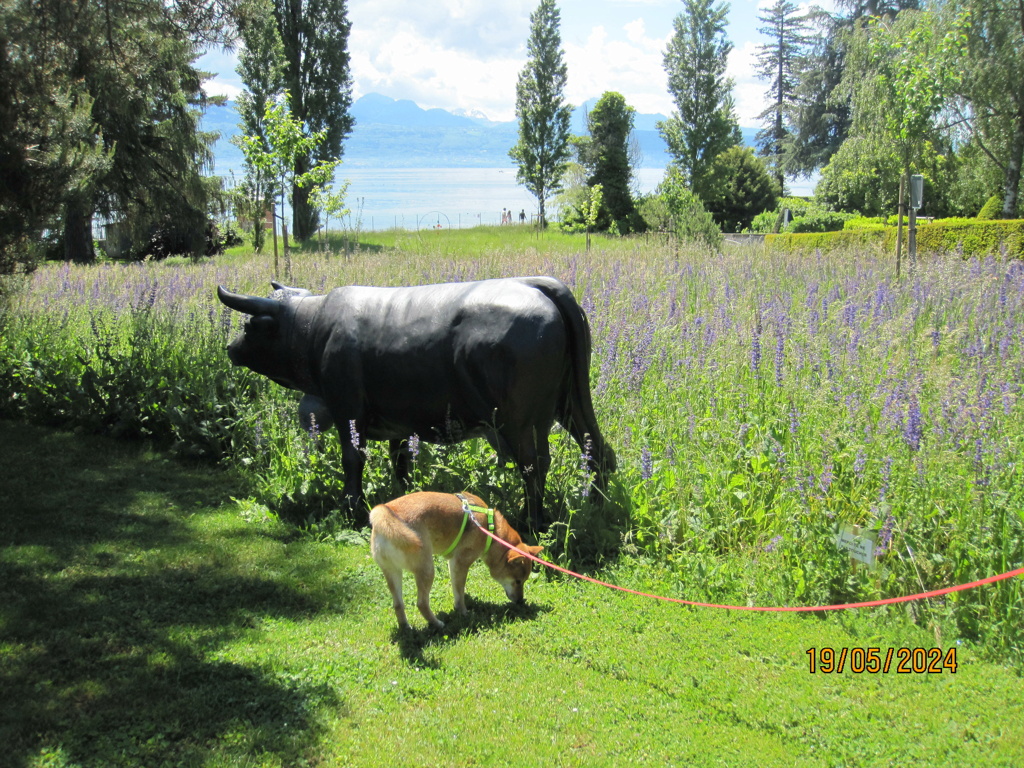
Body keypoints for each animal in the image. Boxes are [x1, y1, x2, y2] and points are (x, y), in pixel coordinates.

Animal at [370, 493, 544, 630]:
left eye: (524, 581)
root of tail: (385, 513)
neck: (490, 529)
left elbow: (456, 589)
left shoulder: (452, 564)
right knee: (421, 603)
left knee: (398, 604)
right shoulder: (460, 563)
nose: (521, 601)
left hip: (393, 573)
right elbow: (459, 593)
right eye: (518, 581)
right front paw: (464, 612)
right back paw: (437, 624)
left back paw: (406, 627)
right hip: (427, 571)